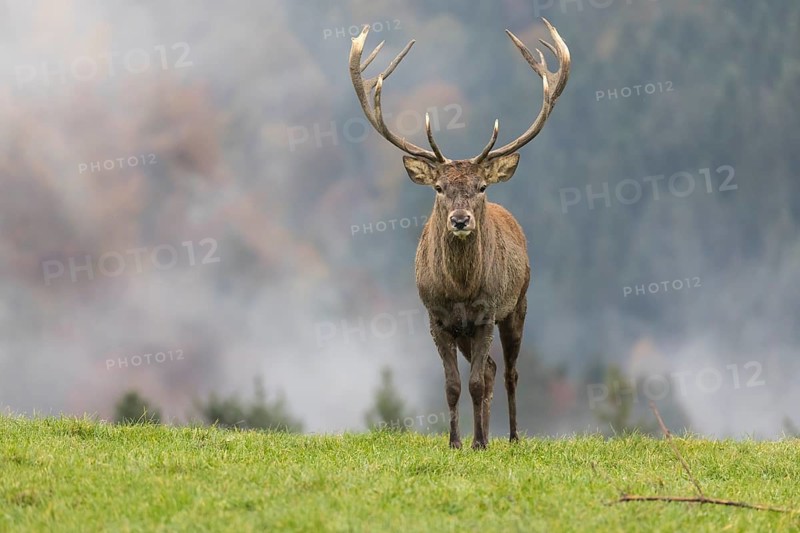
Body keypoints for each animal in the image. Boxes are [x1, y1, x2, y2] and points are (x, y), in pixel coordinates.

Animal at [349, 18, 570, 449]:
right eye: (438, 187)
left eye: (481, 187)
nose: (461, 220)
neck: (462, 290)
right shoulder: (436, 318)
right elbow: (453, 386)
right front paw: (455, 442)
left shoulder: (486, 314)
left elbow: (474, 384)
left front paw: (481, 442)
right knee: (492, 368)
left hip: (519, 302)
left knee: (507, 371)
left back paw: (511, 436)